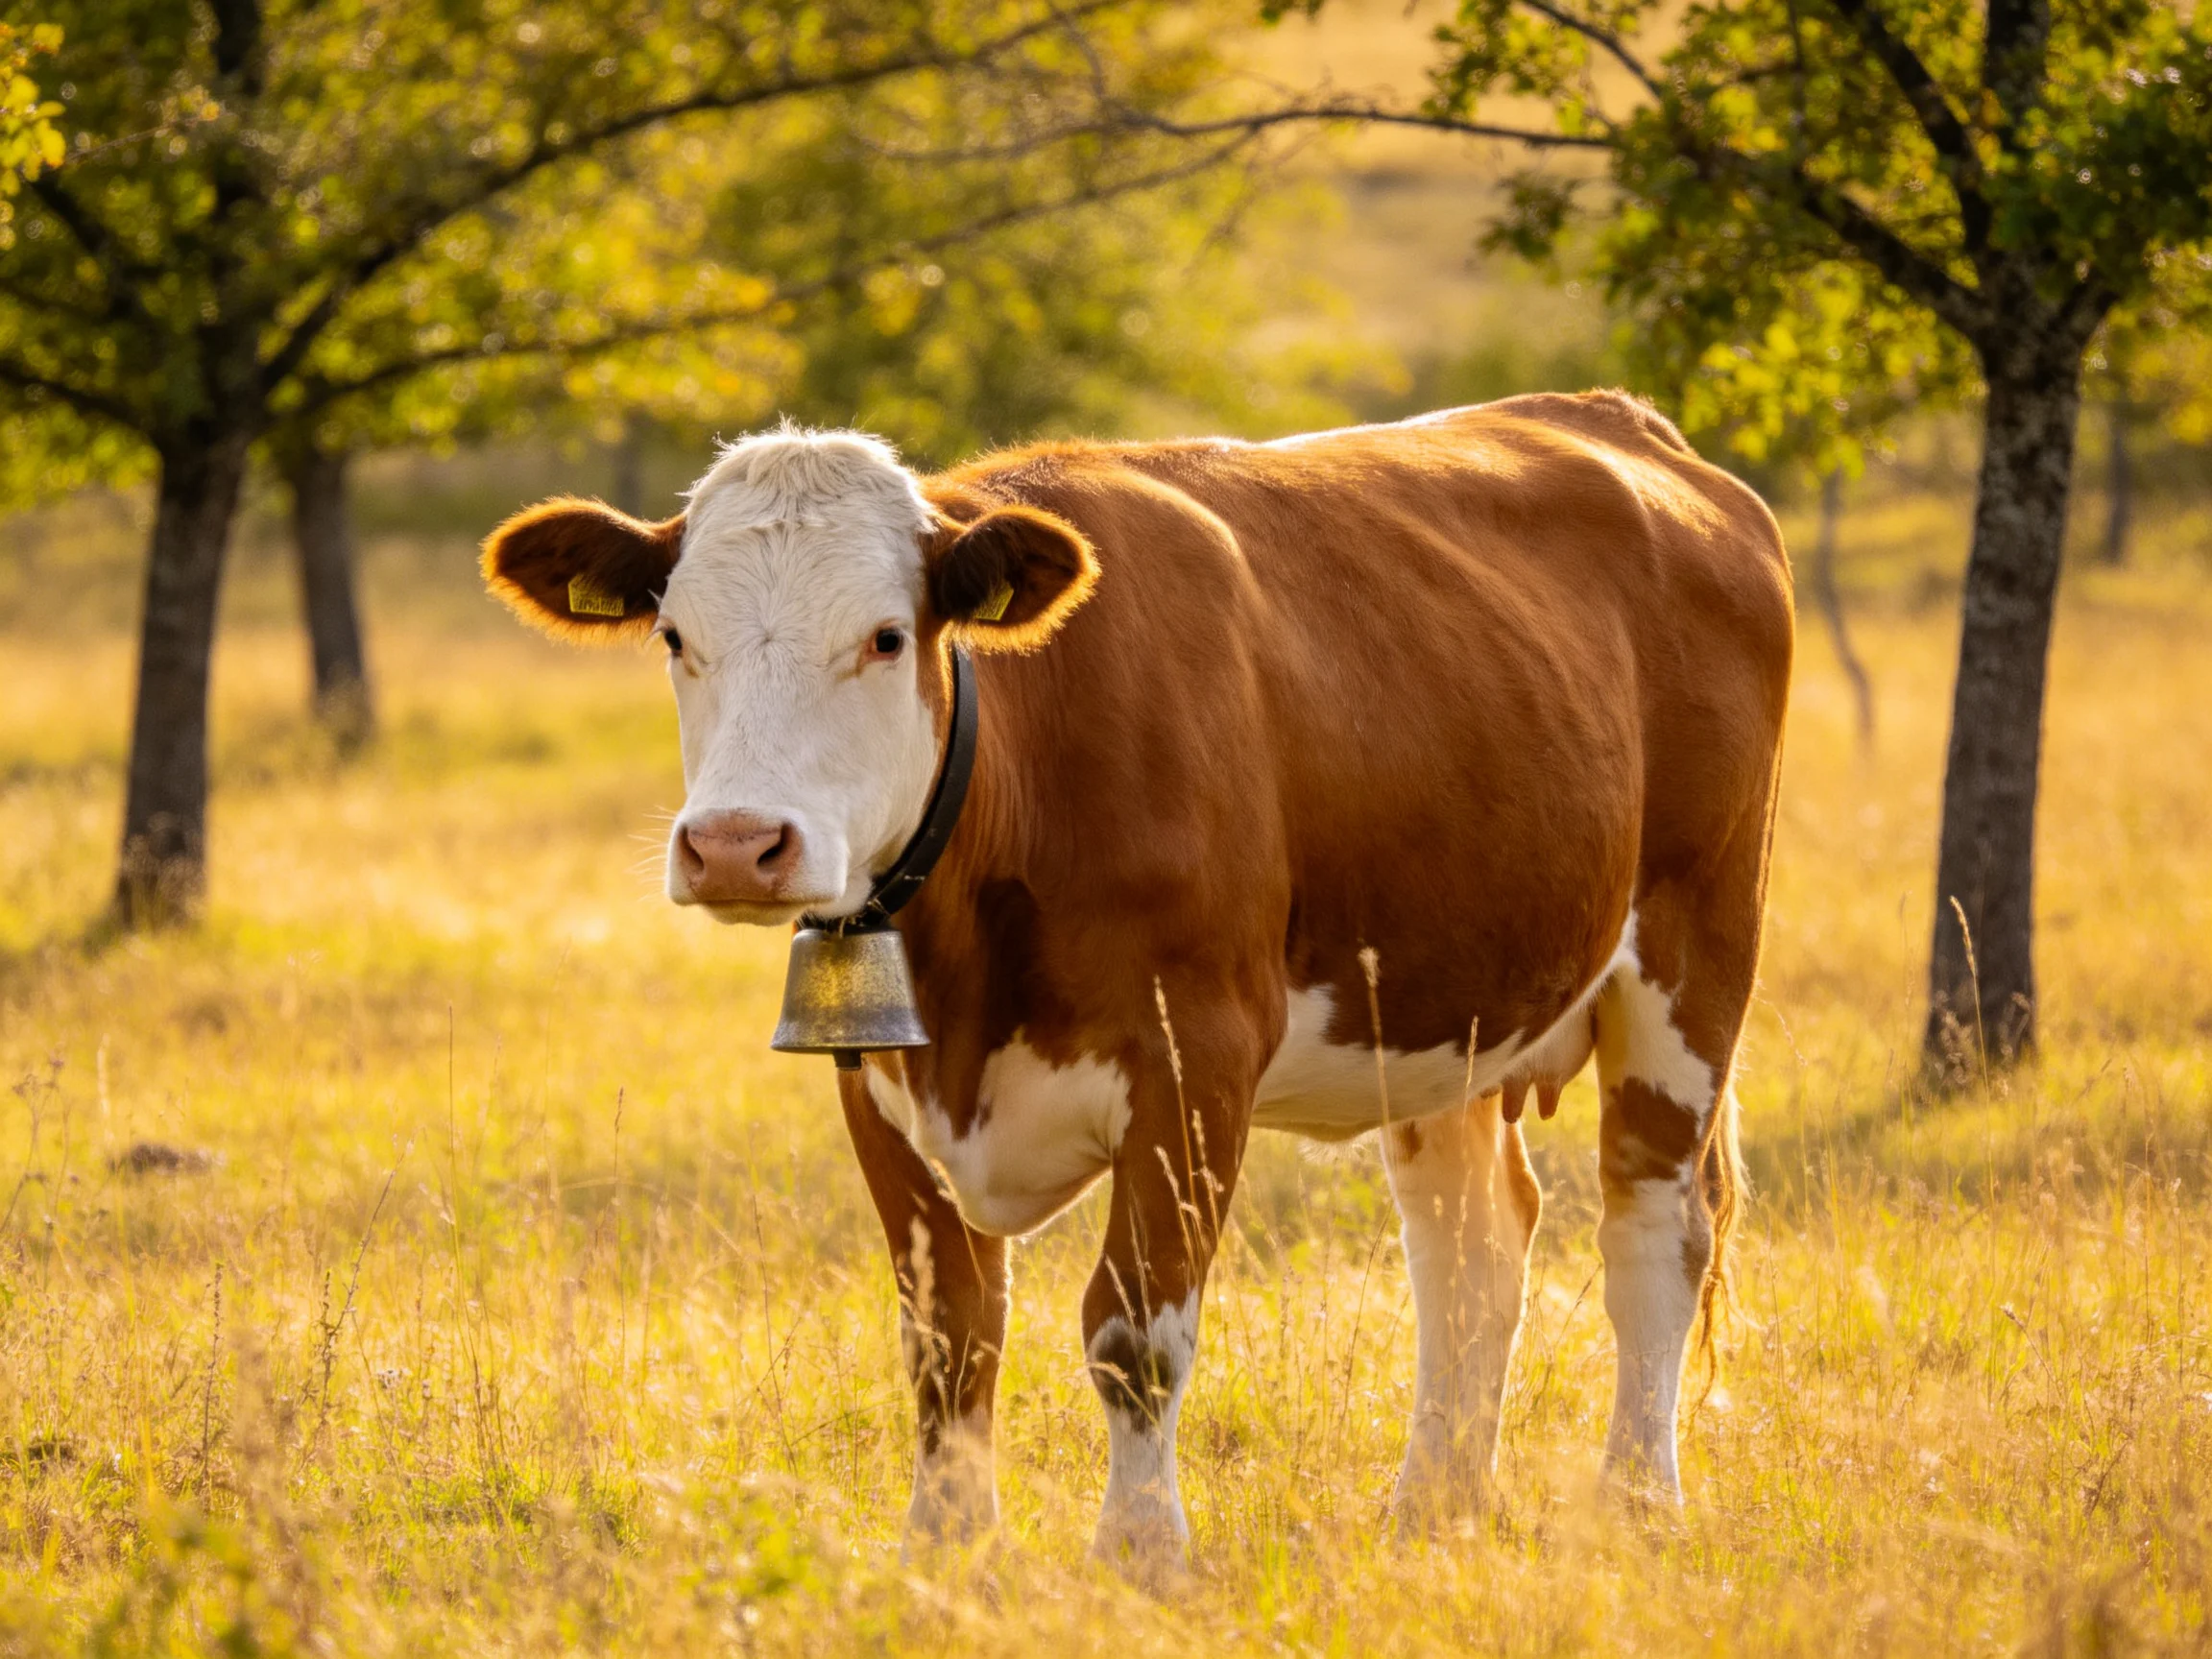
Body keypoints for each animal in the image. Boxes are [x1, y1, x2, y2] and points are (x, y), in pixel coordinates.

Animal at [481, 394, 1793, 1575]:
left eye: (887, 636)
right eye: (674, 639)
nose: (735, 844)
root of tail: (1624, 423)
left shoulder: (1195, 1058)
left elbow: (1134, 1330)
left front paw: (1141, 1553)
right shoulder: (876, 1080)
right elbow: (949, 1340)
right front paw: (946, 1554)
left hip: (1693, 959)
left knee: (1654, 1231)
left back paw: (1637, 1502)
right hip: (1447, 1005)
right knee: (1471, 1248)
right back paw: (1434, 1507)